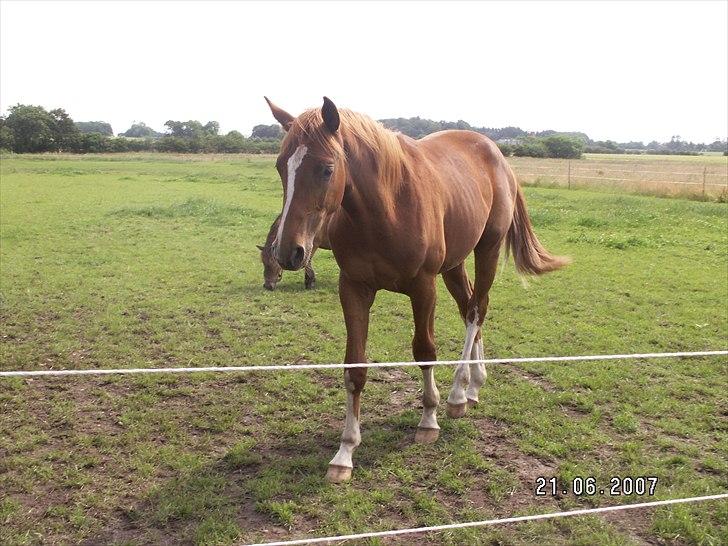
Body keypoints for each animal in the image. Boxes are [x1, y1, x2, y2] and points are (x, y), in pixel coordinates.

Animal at [264, 94, 564, 480]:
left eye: (327, 169)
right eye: (280, 166)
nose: (288, 252)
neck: (386, 209)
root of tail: (495, 153)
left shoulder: (423, 287)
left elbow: (425, 351)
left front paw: (428, 420)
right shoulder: (354, 289)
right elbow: (354, 368)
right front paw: (345, 452)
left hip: (488, 248)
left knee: (477, 310)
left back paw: (457, 395)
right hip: (454, 264)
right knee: (470, 307)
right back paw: (474, 385)